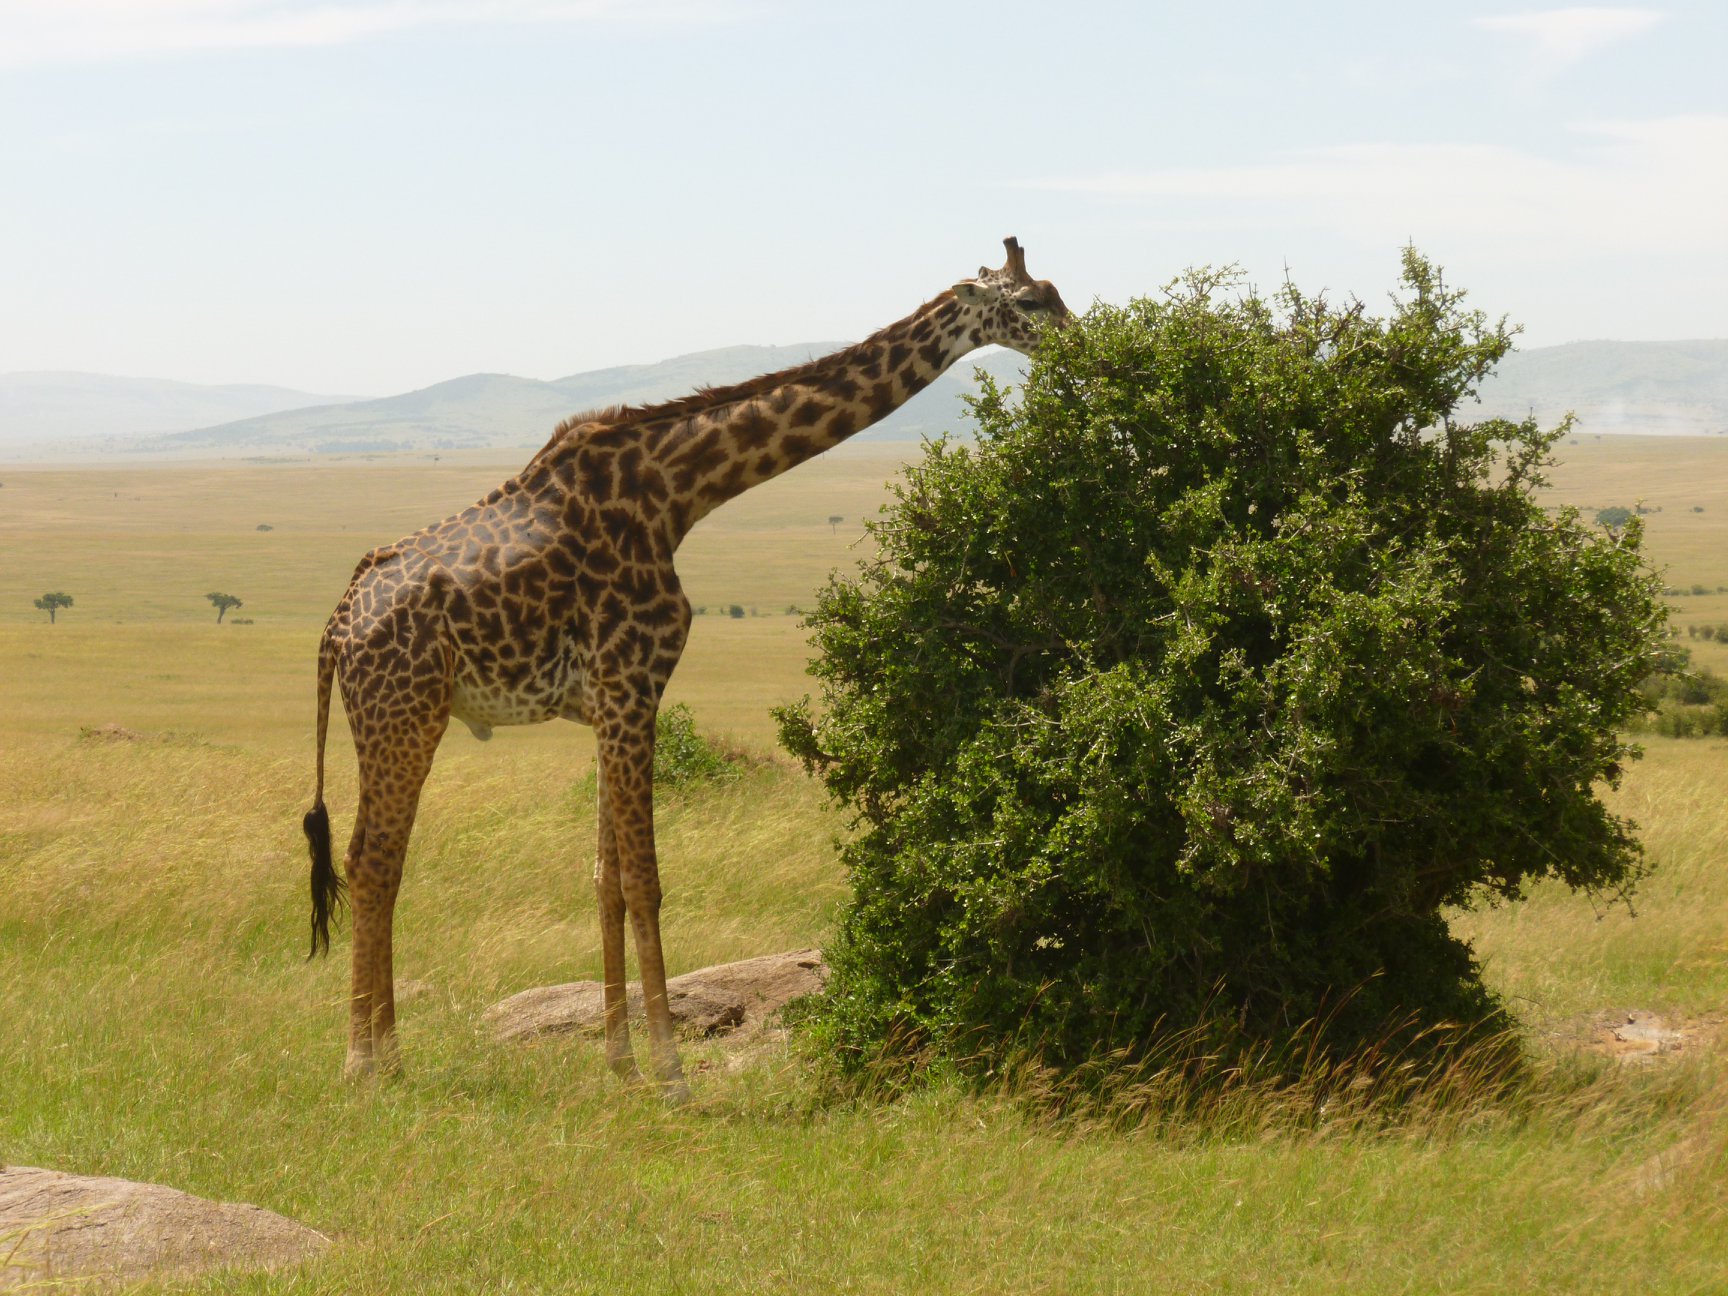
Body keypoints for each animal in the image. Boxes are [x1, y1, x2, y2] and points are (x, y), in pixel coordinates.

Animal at [302, 237, 1069, 1099]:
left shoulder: (608, 703)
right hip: (403, 715)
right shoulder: (634, 685)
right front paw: (671, 1071)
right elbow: (646, 879)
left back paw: (390, 1055)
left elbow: (604, 878)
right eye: (1030, 302)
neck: (679, 493)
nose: (1084, 343)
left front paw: (622, 1063)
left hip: (397, 717)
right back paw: (365, 1063)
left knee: (381, 862)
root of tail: (337, 626)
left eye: (1055, 291)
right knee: (371, 861)